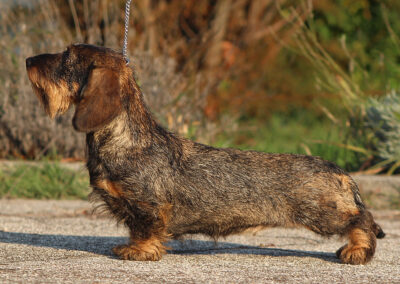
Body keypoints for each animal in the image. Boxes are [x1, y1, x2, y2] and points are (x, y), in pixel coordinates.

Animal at [25, 43, 384, 264]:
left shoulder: (147, 205)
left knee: (362, 219)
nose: (28, 60)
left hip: (322, 213)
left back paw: (357, 251)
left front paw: (138, 251)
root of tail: (338, 170)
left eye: (67, 57)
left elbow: (144, 229)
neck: (126, 139)